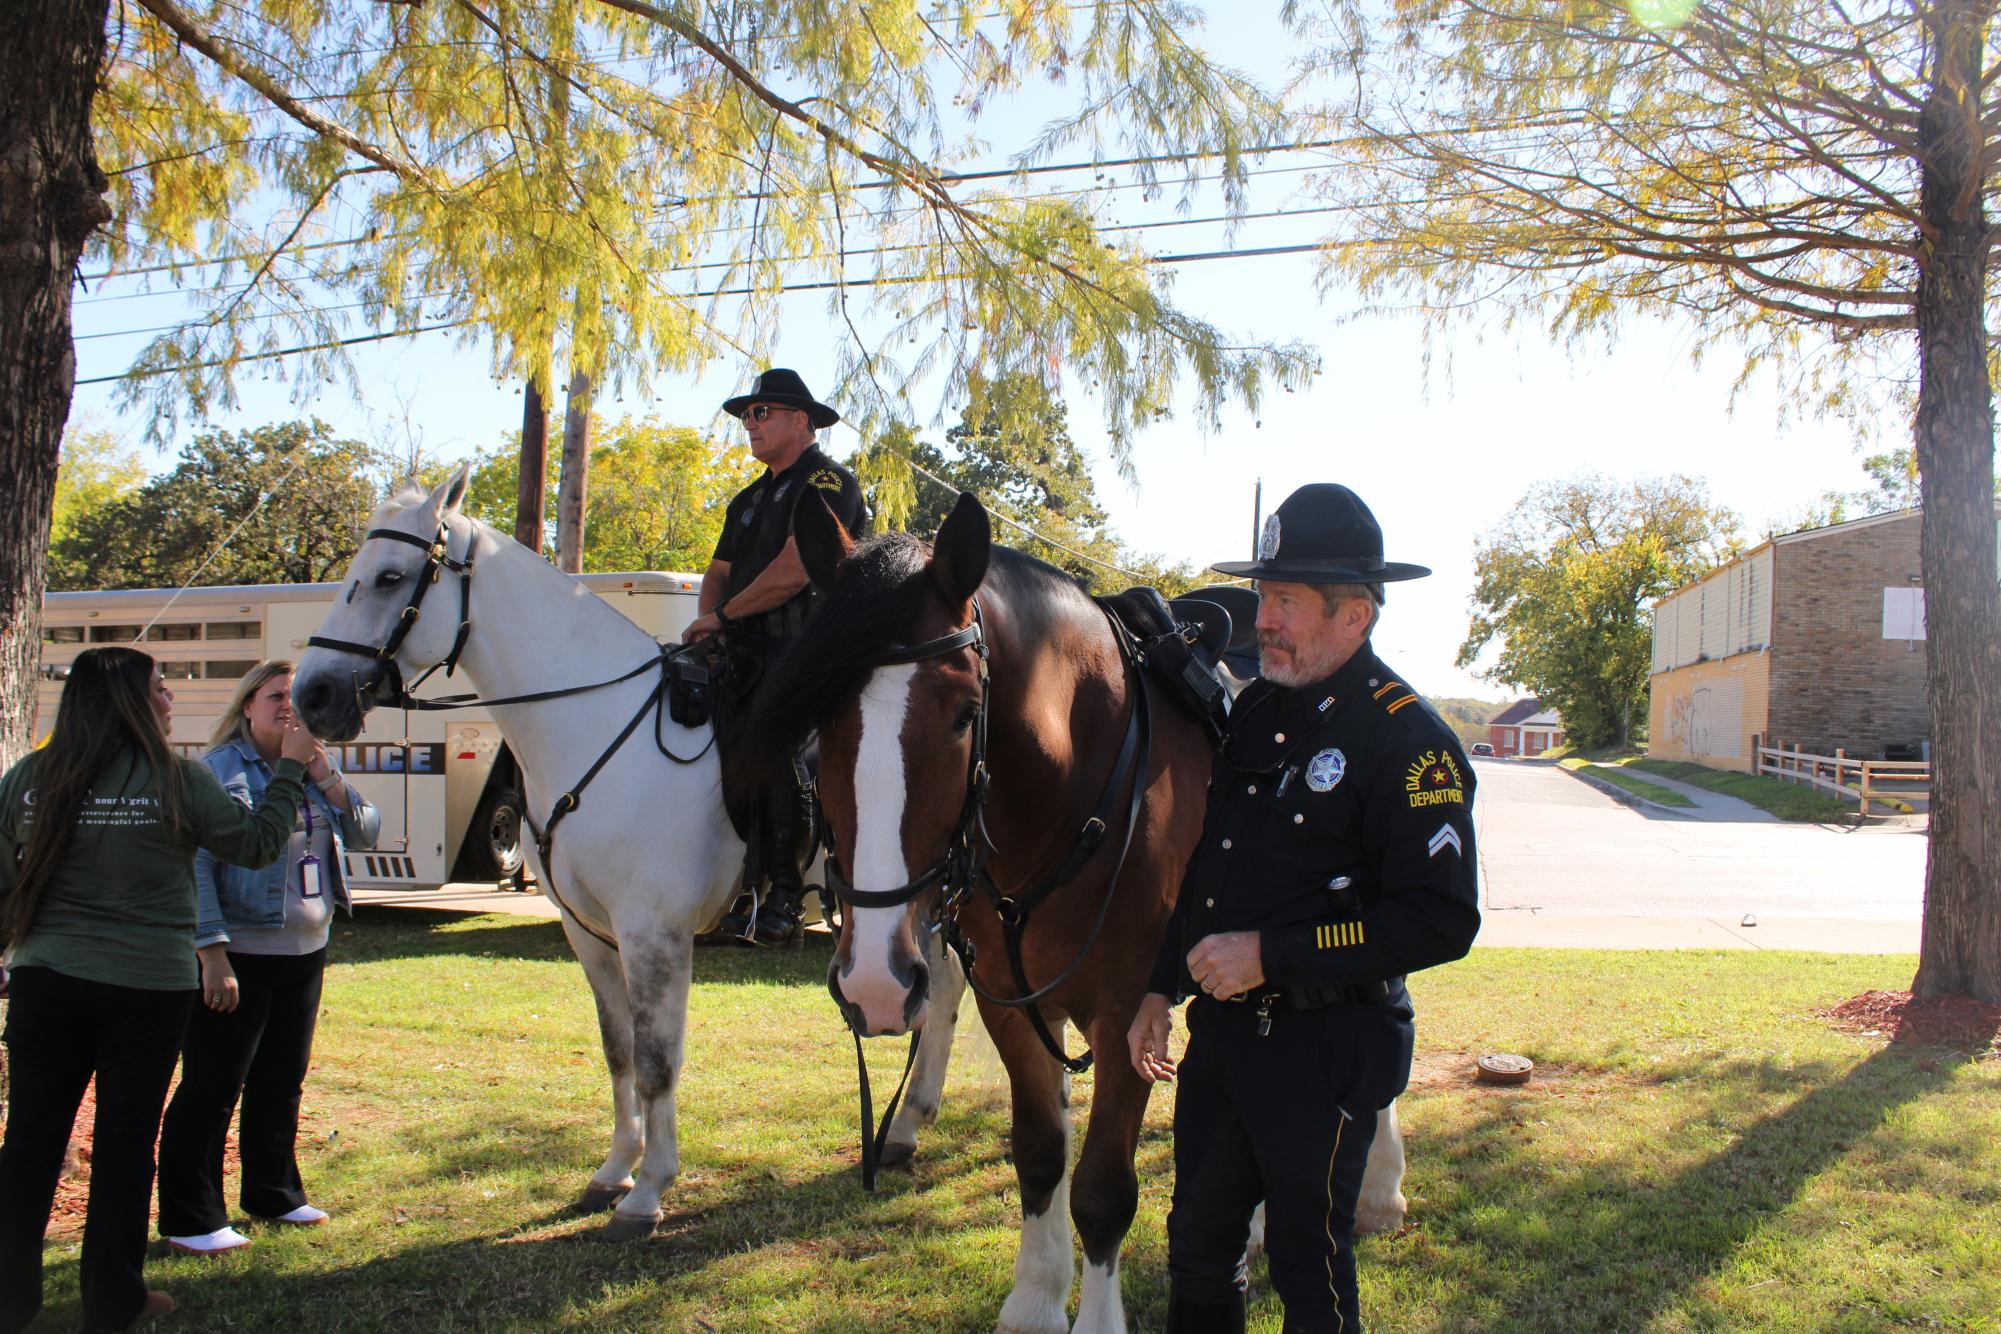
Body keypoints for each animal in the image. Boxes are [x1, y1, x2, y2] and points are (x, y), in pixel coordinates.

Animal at [288, 470, 960, 1240]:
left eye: (390, 577)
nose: (313, 695)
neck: (599, 727)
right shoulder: (591, 934)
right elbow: (619, 1052)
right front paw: (613, 1172)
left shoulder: (653, 934)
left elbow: (657, 1060)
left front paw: (649, 1193)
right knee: (941, 992)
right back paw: (907, 1127)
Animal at [736, 496, 1200, 1328]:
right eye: (820, 718)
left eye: (965, 713)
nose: (871, 985)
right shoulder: (1010, 1004)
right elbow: (1041, 1153)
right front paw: (1035, 1301)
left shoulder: (1129, 1019)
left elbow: (1103, 1193)